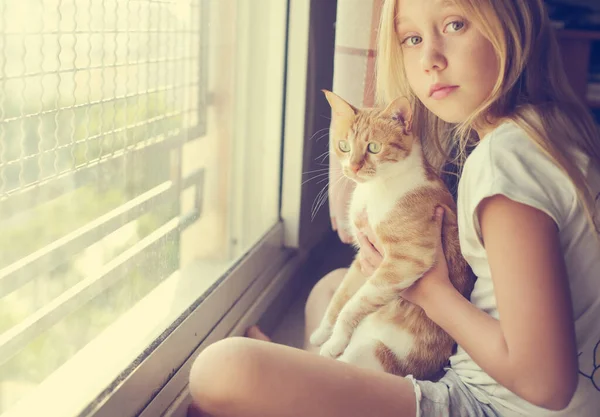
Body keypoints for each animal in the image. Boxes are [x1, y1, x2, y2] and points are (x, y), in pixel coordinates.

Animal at [312, 92, 476, 380]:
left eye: (374, 148)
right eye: (344, 146)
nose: (353, 167)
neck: (375, 190)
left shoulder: (404, 261)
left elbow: (354, 302)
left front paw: (335, 341)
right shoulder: (362, 260)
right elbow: (340, 297)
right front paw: (323, 332)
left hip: (370, 353)